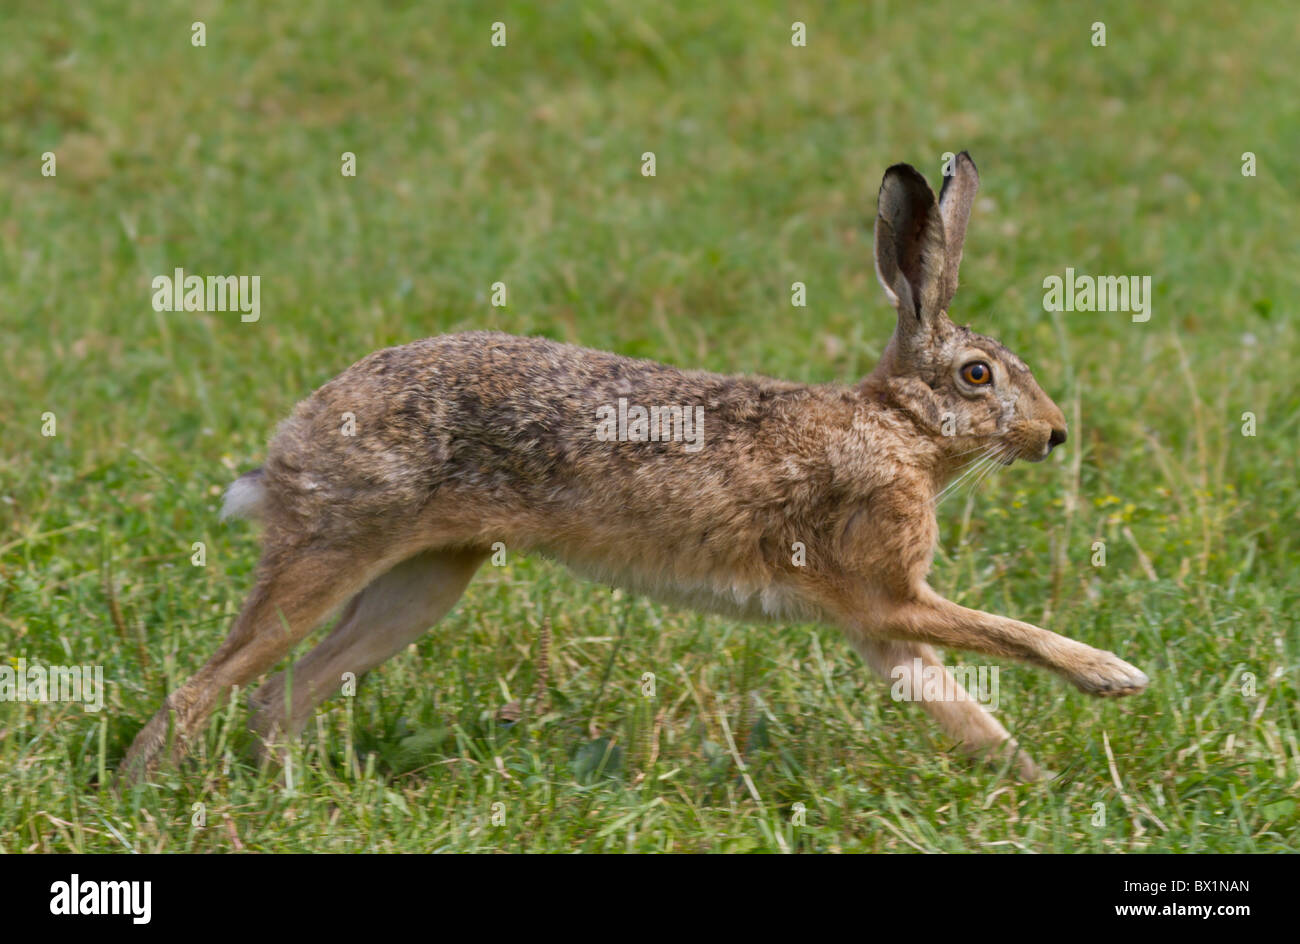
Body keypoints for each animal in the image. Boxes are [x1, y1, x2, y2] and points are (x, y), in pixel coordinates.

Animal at [120, 152, 1148, 786]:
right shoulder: (887, 594)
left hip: (424, 582)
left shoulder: (878, 625)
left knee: (278, 694)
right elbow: (1006, 636)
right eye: (977, 376)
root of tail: (294, 439)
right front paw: (1114, 677)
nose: (1055, 435)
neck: (898, 427)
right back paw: (144, 789)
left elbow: (962, 710)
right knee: (208, 688)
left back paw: (282, 786)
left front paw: (1039, 783)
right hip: (333, 550)